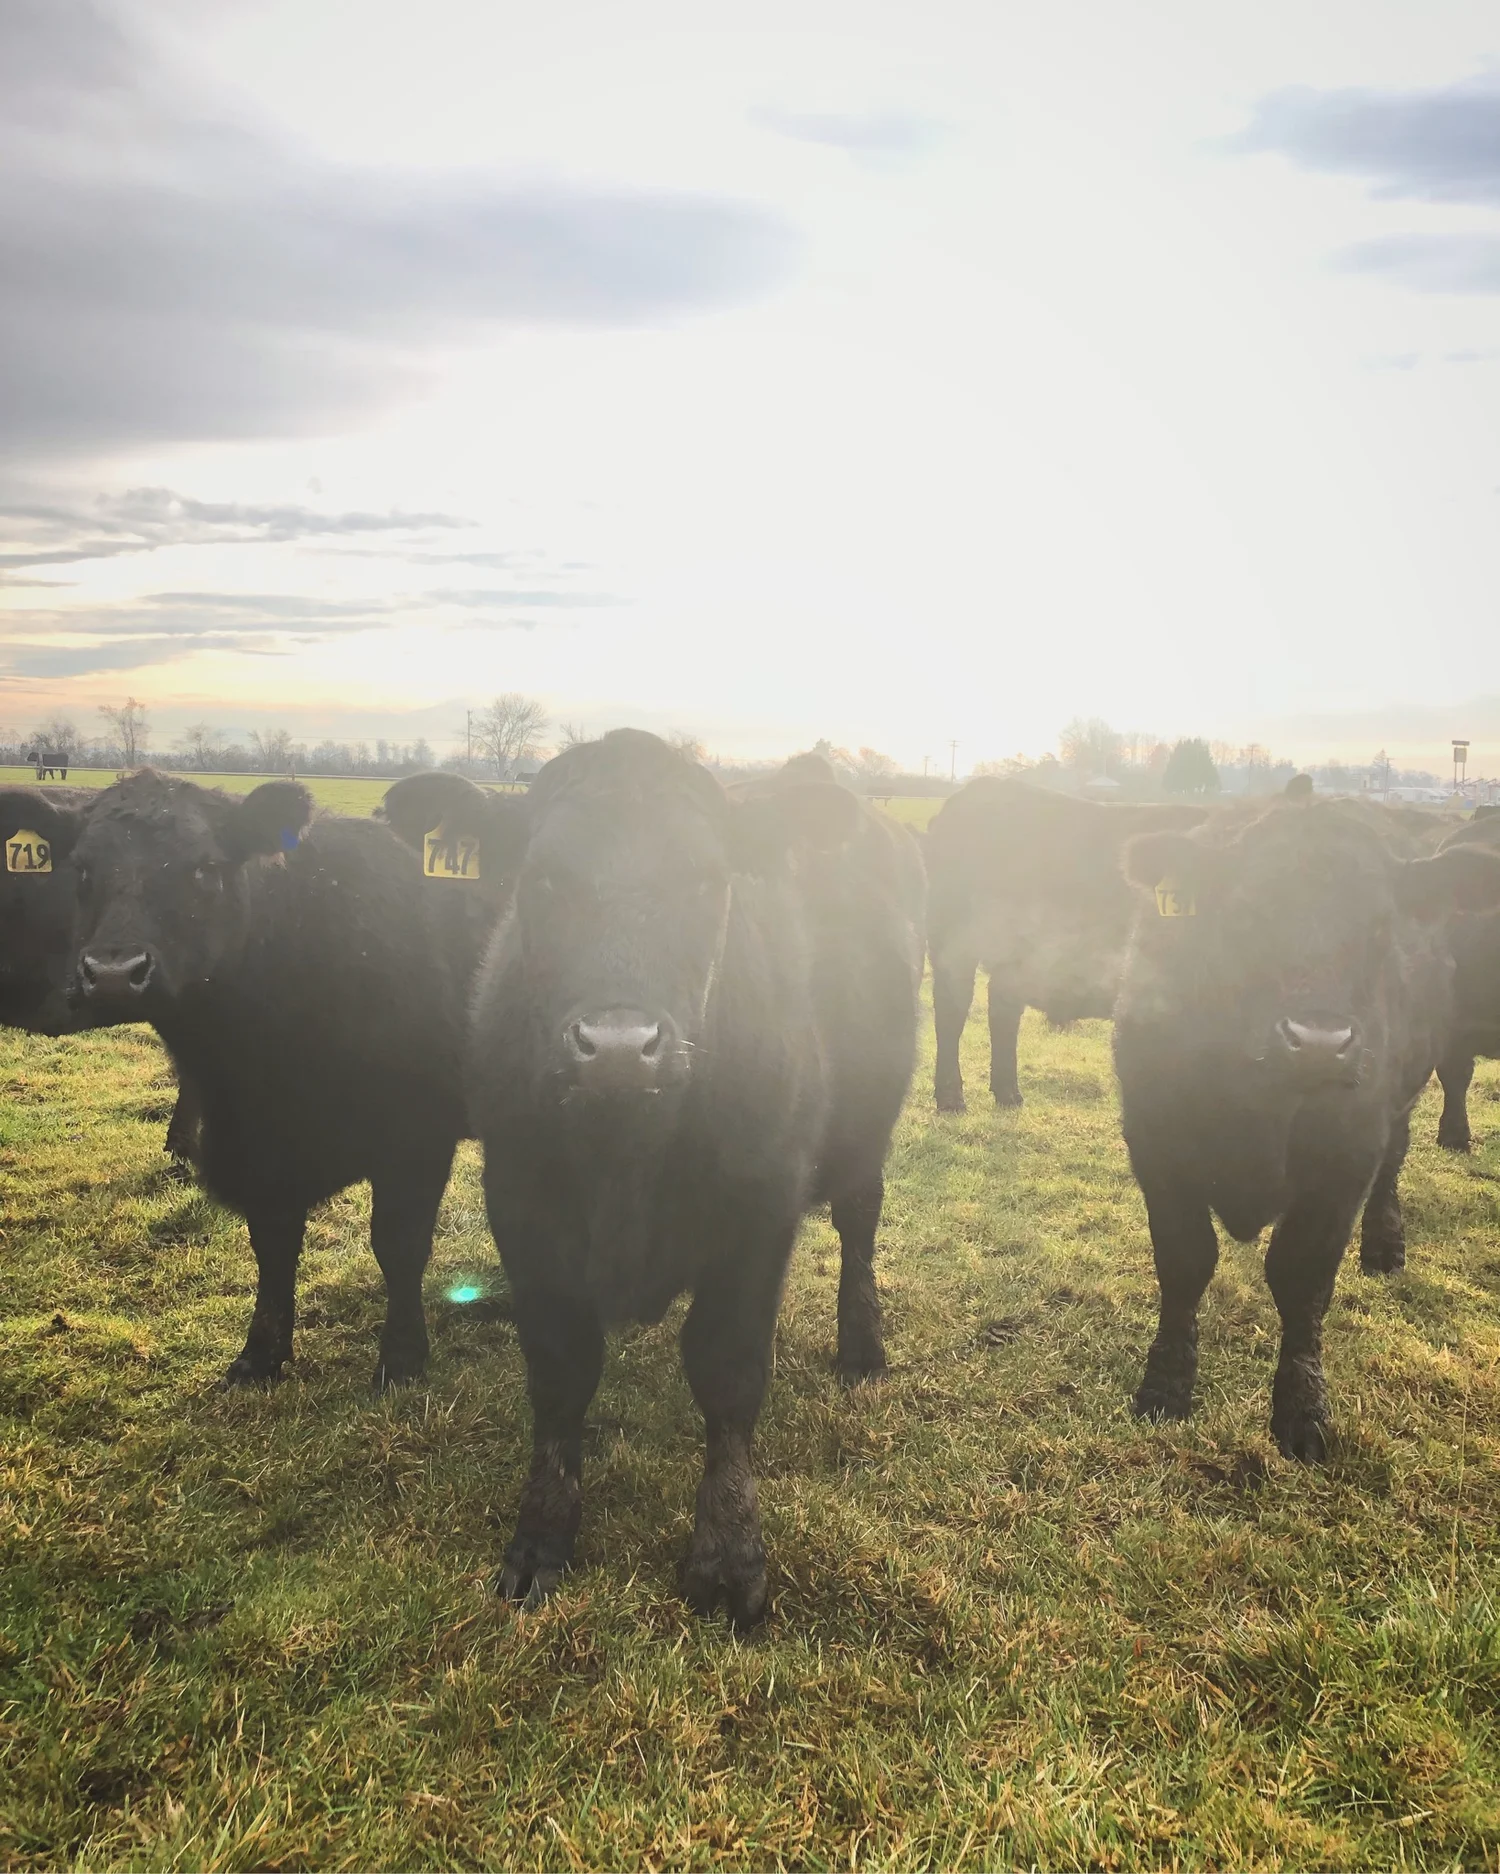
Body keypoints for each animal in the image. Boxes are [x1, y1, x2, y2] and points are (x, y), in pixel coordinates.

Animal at [64, 769, 485, 1389]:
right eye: (82, 870)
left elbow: (399, 1243)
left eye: (204, 868)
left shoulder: (417, 1136)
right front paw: (260, 1355)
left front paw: (402, 1359)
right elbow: (273, 1245)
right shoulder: (253, 1148)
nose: (115, 972)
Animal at [465, 730, 925, 1625]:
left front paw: (728, 1554)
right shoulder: (521, 1207)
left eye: (708, 881)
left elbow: (729, 1371)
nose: (616, 1048)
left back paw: (862, 1346)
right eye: (542, 879)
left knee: (860, 1223)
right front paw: (540, 1537)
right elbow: (559, 1377)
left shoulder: (761, 1210)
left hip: (867, 1134)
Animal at [1112, 794, 1500, 1460]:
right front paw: (1164, 1387)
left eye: (1382, 929)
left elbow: (1301, 1278)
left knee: (1397, 1158)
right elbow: (1185, 1261)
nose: (1320, 1044)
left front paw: (1302, 1410)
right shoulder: (1156, 1143)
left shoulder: (1343, 1163)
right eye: (1247, 917)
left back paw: (1385, 1244)